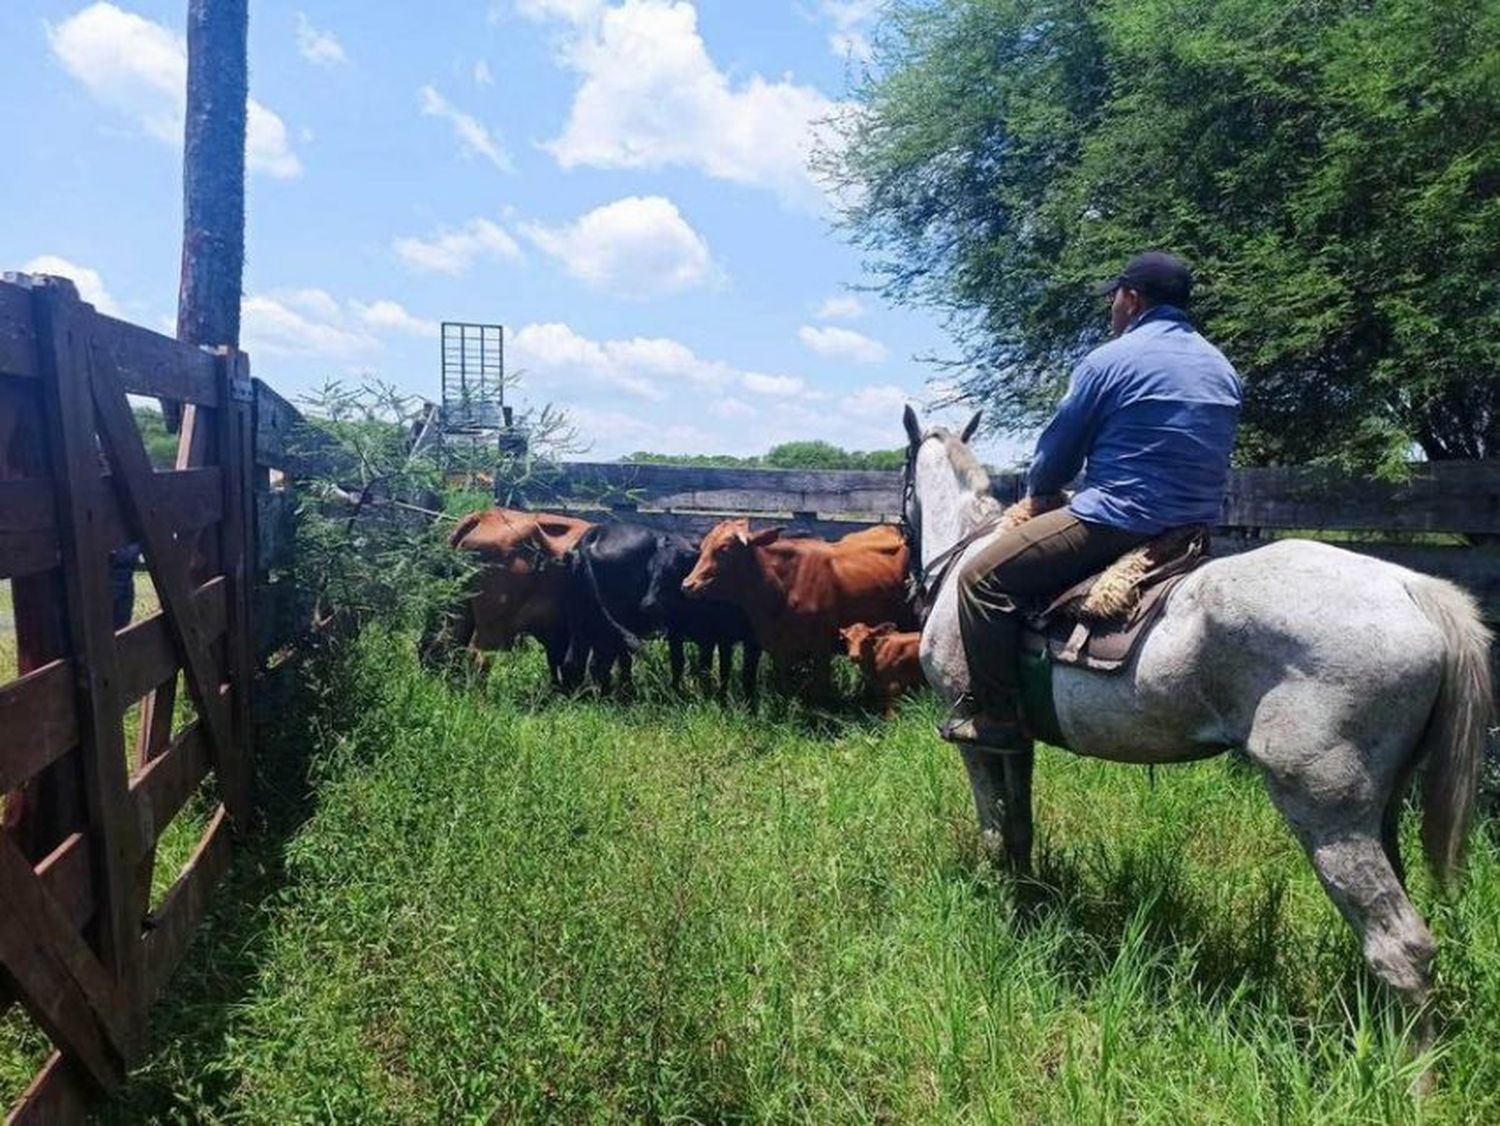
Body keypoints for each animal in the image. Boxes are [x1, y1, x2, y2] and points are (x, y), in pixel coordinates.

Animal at [567, 524, 768, 701]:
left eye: (674, 572)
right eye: (651, 571)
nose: (647, 603)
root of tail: (597, 532)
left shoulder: (717, 636)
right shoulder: (696, 633)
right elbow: (692, 665)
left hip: (587, 623)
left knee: (579, 661)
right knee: (606, 662)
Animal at [681, 518, 912, 695]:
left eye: (724, 549)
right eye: (702, 548)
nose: (688, 584)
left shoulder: (821, 648)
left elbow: (820, 691)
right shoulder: (779, 650)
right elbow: (784, 688)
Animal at [894, 407, 1494, 1019]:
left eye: (904, 479)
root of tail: (1412, 587)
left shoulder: (975, 737)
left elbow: (994, 831)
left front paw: (1003, 906)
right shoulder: (1017, 742)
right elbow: (1018, 829)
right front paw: (1027, 900)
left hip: (1327, 812)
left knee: (1400, 945)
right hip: (1383, 806)